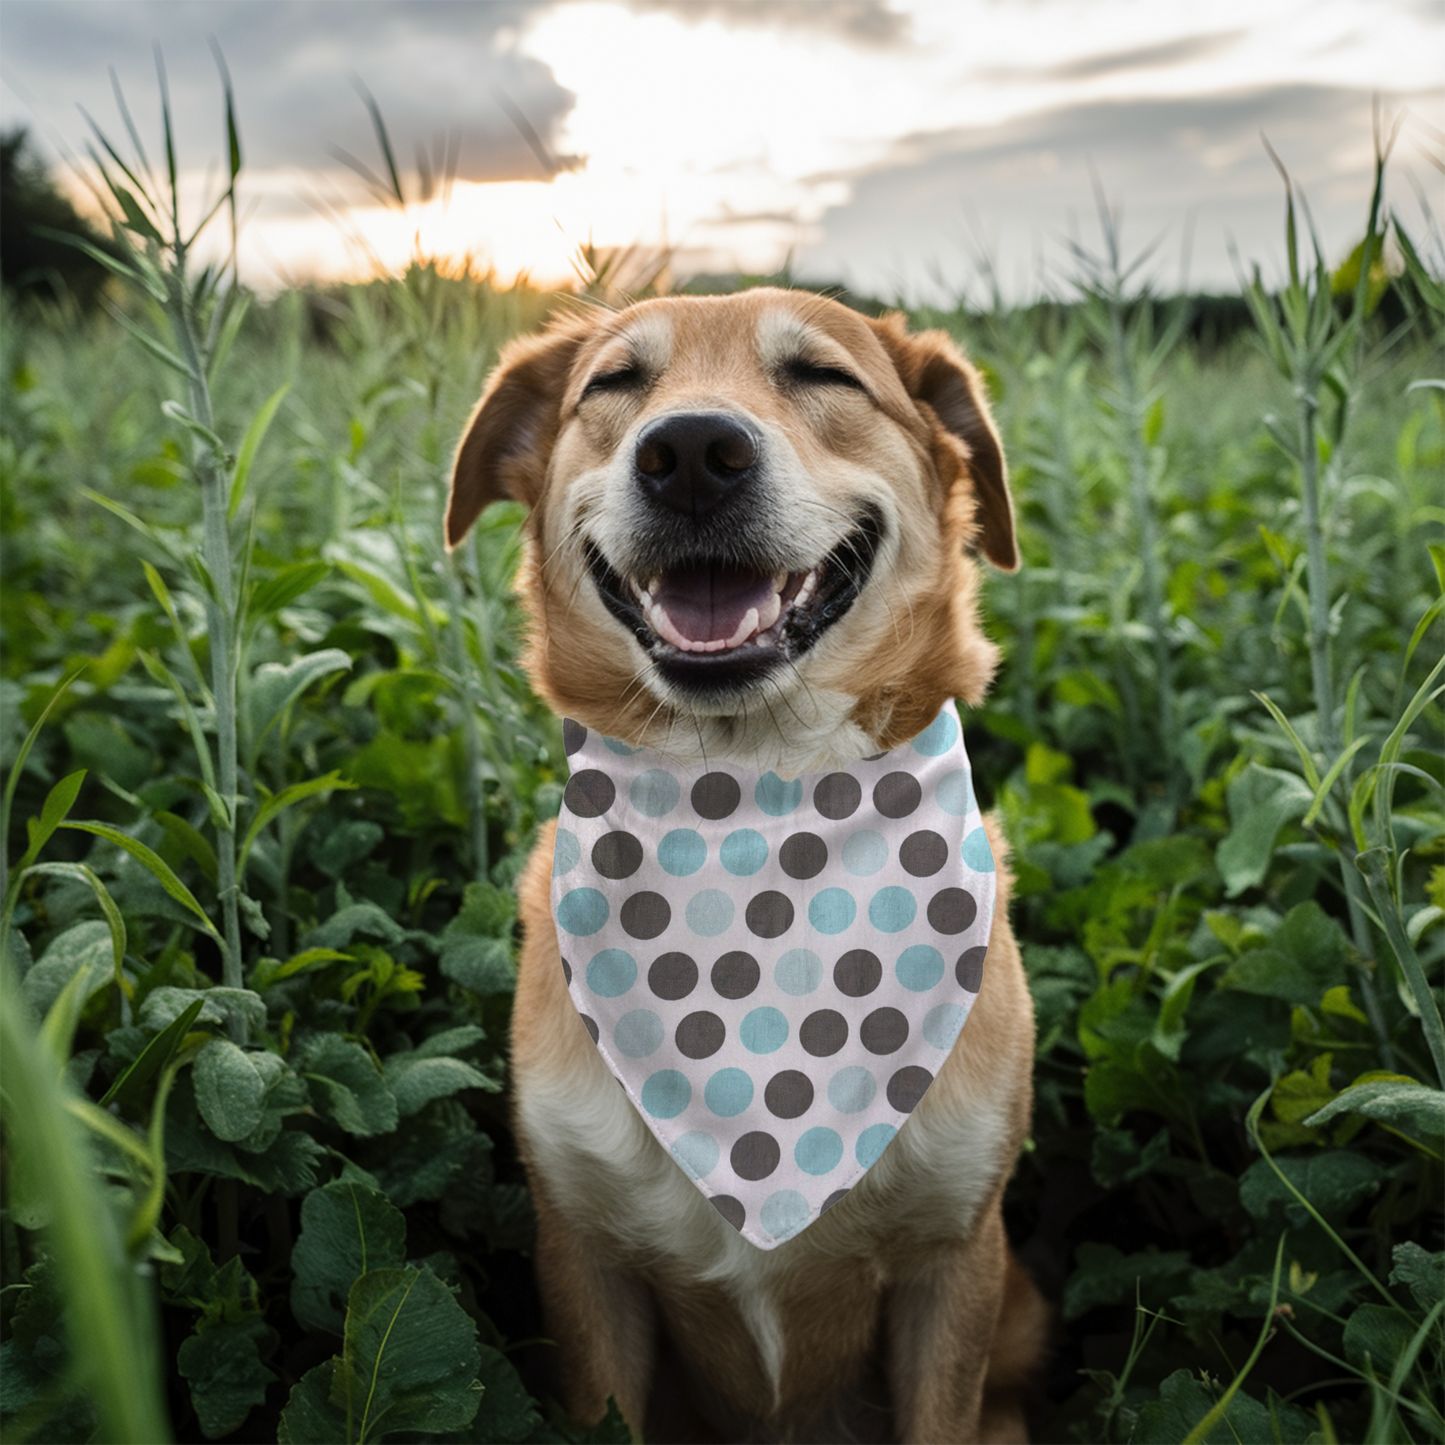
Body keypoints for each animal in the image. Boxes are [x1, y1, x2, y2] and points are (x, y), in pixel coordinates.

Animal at [445, 287, 1046, 1439]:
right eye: (615, 383)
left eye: (821, 374)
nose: (688, 452)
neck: (753, 797)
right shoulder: (584, 1266)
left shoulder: (954, 1258)